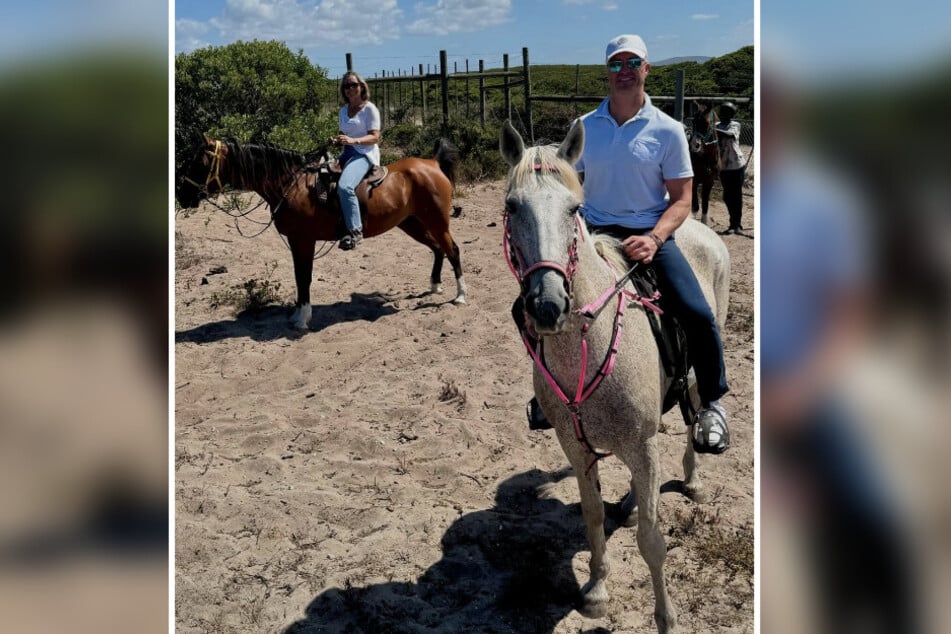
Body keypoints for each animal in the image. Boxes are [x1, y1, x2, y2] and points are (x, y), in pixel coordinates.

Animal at [178, 135, 468, 328]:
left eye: (199, 163)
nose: (182, 196)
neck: (290, 184)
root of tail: (432, 163)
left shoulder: (304, 240)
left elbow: (304, 278)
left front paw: (302, 319)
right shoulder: (296, 241)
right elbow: (299, 277)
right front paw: (297, 314)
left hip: (436, 221)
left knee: (452, 249)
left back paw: (460, 296)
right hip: (412, 223)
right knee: (437, 249)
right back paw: (434, 286)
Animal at [502, 118, 732, 628]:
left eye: (573, 209)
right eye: (512, 206)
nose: (547, 305)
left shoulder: (642, 446)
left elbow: (652, 540)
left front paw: (667, 618)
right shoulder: (576, 447)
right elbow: (591, 518)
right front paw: (596, 590)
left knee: (694, 409)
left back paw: (693, 475)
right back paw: (628, 502)